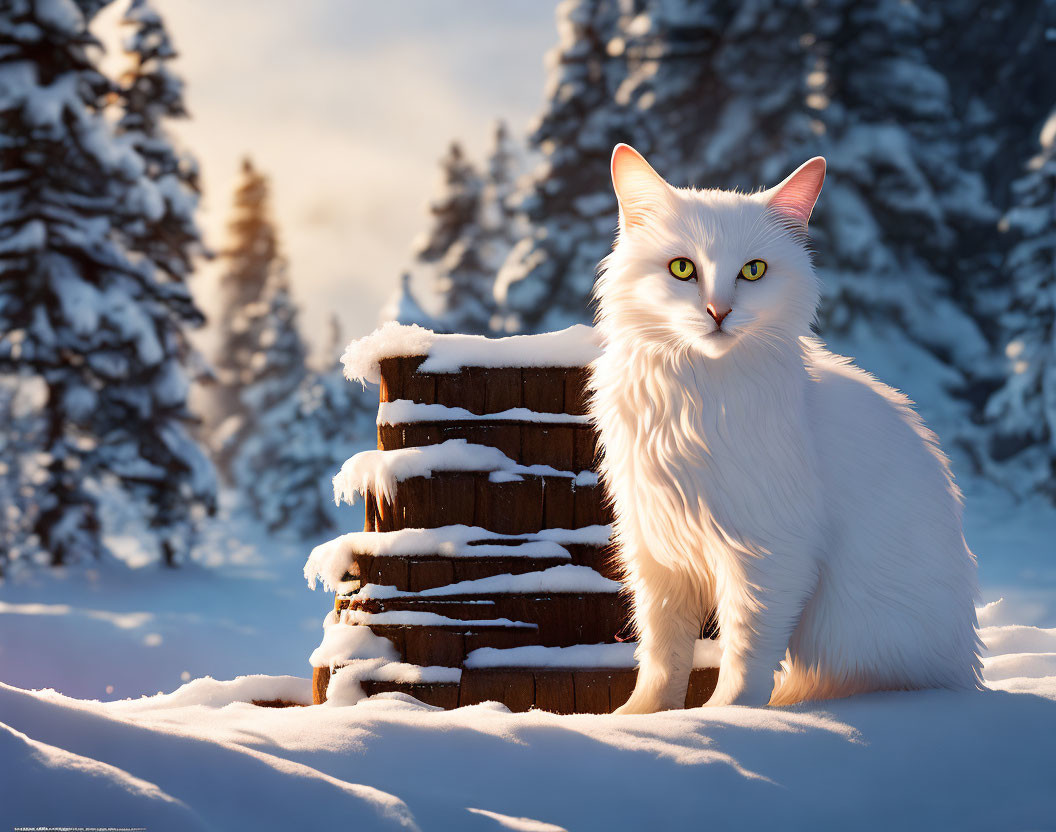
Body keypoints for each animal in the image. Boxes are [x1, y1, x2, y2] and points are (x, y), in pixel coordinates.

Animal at [591, 144, 984, 709]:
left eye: (753, 271)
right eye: (682, 268)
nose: (718, 311)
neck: (696, 399)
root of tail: (965, 674)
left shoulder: (770, 556)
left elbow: (745, 655)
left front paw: (725, 716)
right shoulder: (659, 553)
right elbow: (663, 659)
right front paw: (644, 717)